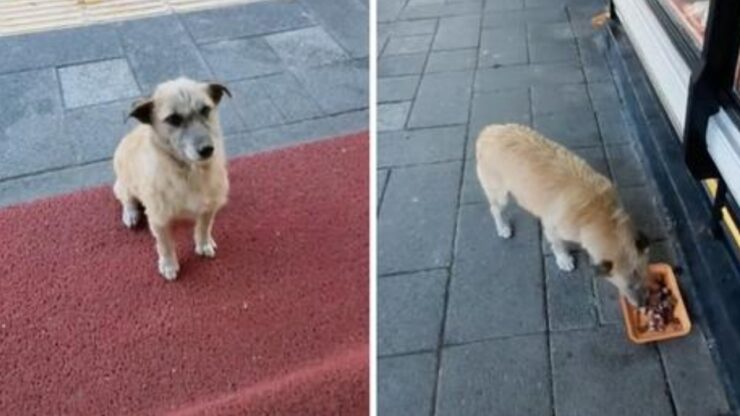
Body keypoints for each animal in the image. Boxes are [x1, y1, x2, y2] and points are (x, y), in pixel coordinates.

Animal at [111, 76, 228, 282]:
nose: (207, 149)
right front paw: (168, 265)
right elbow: (165, 245)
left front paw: (204, 243)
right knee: (126, 199)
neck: (189, 172)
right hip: (124, 183)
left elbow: (204, 227)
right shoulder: (159, 219)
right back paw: (131, 214)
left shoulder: (210, 205)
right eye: (173, 119)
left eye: (205, 110)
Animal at [476, 123, 680, 334]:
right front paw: (564, 260)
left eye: (645, 276)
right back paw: (503, 228)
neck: (598, 214)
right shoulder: (552, 227)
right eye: (627, 286)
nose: (643, 305)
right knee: (495, 209)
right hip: (499, 194)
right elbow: (558, 246)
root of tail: (488, 132)